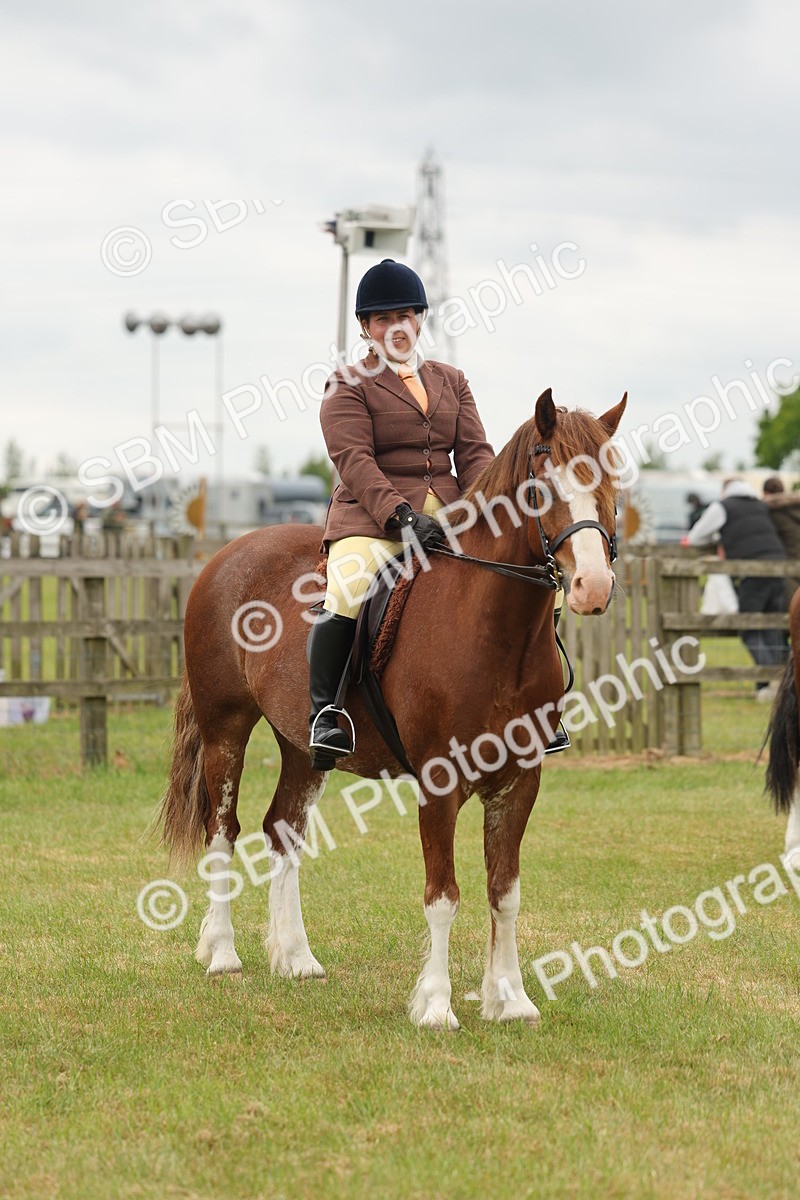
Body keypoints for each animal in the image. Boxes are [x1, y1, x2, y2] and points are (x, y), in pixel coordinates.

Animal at [157, 387, 627, 1029]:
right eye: (541, 486)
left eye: (614, 482)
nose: (592, 588)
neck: (492, 630)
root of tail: (226, 554)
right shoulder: (439, 782)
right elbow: (443, 895)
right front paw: (436, 1005)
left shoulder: (519, 782)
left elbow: (504, 891)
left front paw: (510, 1000)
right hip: (224, 729)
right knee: (223, 832)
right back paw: (222, 952)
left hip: (304, 748)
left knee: (283, 831)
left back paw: (294, 957)